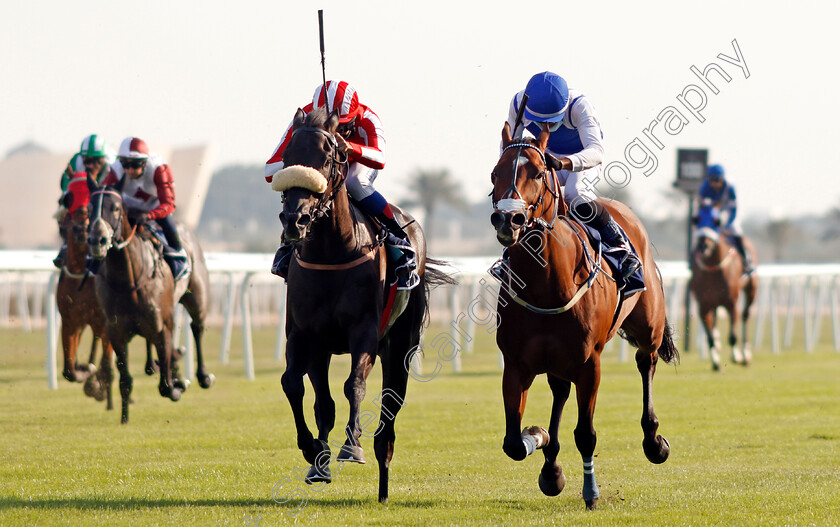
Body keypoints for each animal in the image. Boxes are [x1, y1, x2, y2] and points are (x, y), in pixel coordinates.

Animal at [55, 185, 114, 408]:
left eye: (89, 223)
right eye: (72, 226)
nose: (85, 235)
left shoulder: (105, 321)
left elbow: (105, 362)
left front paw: (96, 384)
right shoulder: (71, 321)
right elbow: (69, 369)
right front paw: (84, 371)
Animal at [85, 175, 215, 422]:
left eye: (115, 208)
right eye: (89, 208)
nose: (97, 240)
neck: (129, 281)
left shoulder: (161, 326)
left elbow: (165, 386)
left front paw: (177, 385)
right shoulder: (116, 332)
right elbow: (126, 380)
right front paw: (124, 419)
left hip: (197, 299)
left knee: (197, 327)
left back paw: (202, 375)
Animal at [270, 106, 452, 504]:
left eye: (328, 158)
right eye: (287, 157)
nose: (294, 220)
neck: (331, 252)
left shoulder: (364, 331)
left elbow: (354, 385)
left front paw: (351, 446)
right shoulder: (305, 334)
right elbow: (294, 385)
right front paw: (313, 451)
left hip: (400, 346)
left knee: (389, 413)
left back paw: (382, 482)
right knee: (324, 403)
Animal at [488, 121, 680, 510]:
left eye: (538, 171)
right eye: (495, 172)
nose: (508, 218)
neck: (545, 285)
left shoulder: (590, 363)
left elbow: (586, 434)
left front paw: (590, 493)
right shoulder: (516, 364)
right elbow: (513, 442)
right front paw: (539, 437)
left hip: (648, 328)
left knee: (646, 363)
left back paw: (654, 441)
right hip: (558, 360)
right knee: (560, 390)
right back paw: (551, 468)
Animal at [688, 206, 760, 372]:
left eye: (716, 221)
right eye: (697, 219)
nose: (704, 246)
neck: (713, 269)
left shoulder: (732, 302)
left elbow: (732, 335)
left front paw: (737, 356)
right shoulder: (703, 306)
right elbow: (709, 338)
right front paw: (716, 363)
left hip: (751, 289)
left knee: (745, 316)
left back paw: (746, 355)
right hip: (714, 303)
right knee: (715, 324)